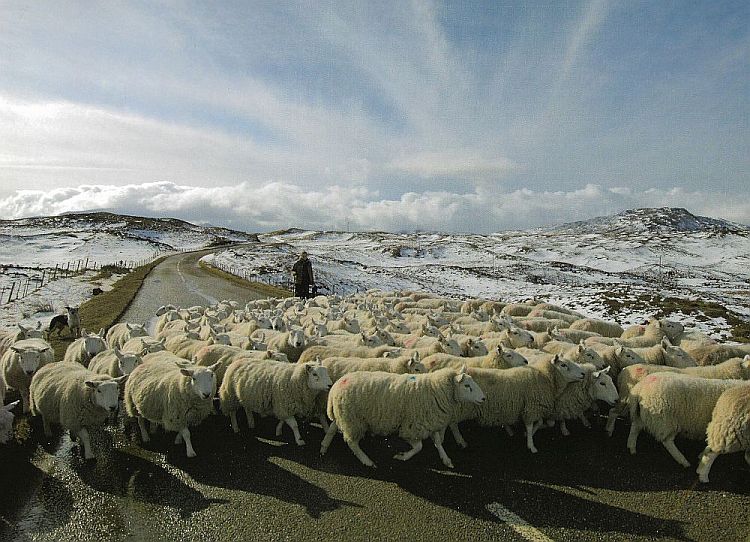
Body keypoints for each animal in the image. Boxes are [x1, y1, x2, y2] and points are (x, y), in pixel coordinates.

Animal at [318, 368, 488, 470]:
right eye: (467, 386)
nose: (484, 398)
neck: (435, 389)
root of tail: (335, 386)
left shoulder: (430, 421)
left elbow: (438, 442)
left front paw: (446, 459)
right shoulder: (413, 425)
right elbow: (419, 447)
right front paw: (402, 456)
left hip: (344, 415)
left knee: (333, 428)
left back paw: (324, 446)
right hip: (353, 419)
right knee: (352, 442)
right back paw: (367, 461)